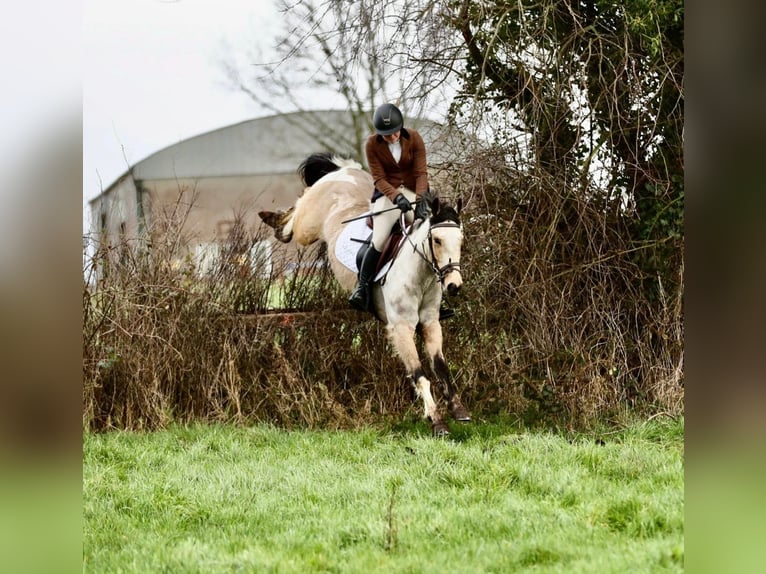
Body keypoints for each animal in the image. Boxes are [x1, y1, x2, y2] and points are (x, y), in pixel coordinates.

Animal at [260, 153, 472, 436]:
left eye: (461, 240)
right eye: (436, 240)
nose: (453, 285)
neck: (421, 275)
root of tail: (343, 171)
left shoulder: (430, 324)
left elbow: (441, 368)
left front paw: (459, 410)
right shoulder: (401, 328)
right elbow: (420, 375)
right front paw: (436, 421)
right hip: (309, 224)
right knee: (297, 214)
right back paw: (273, 220)